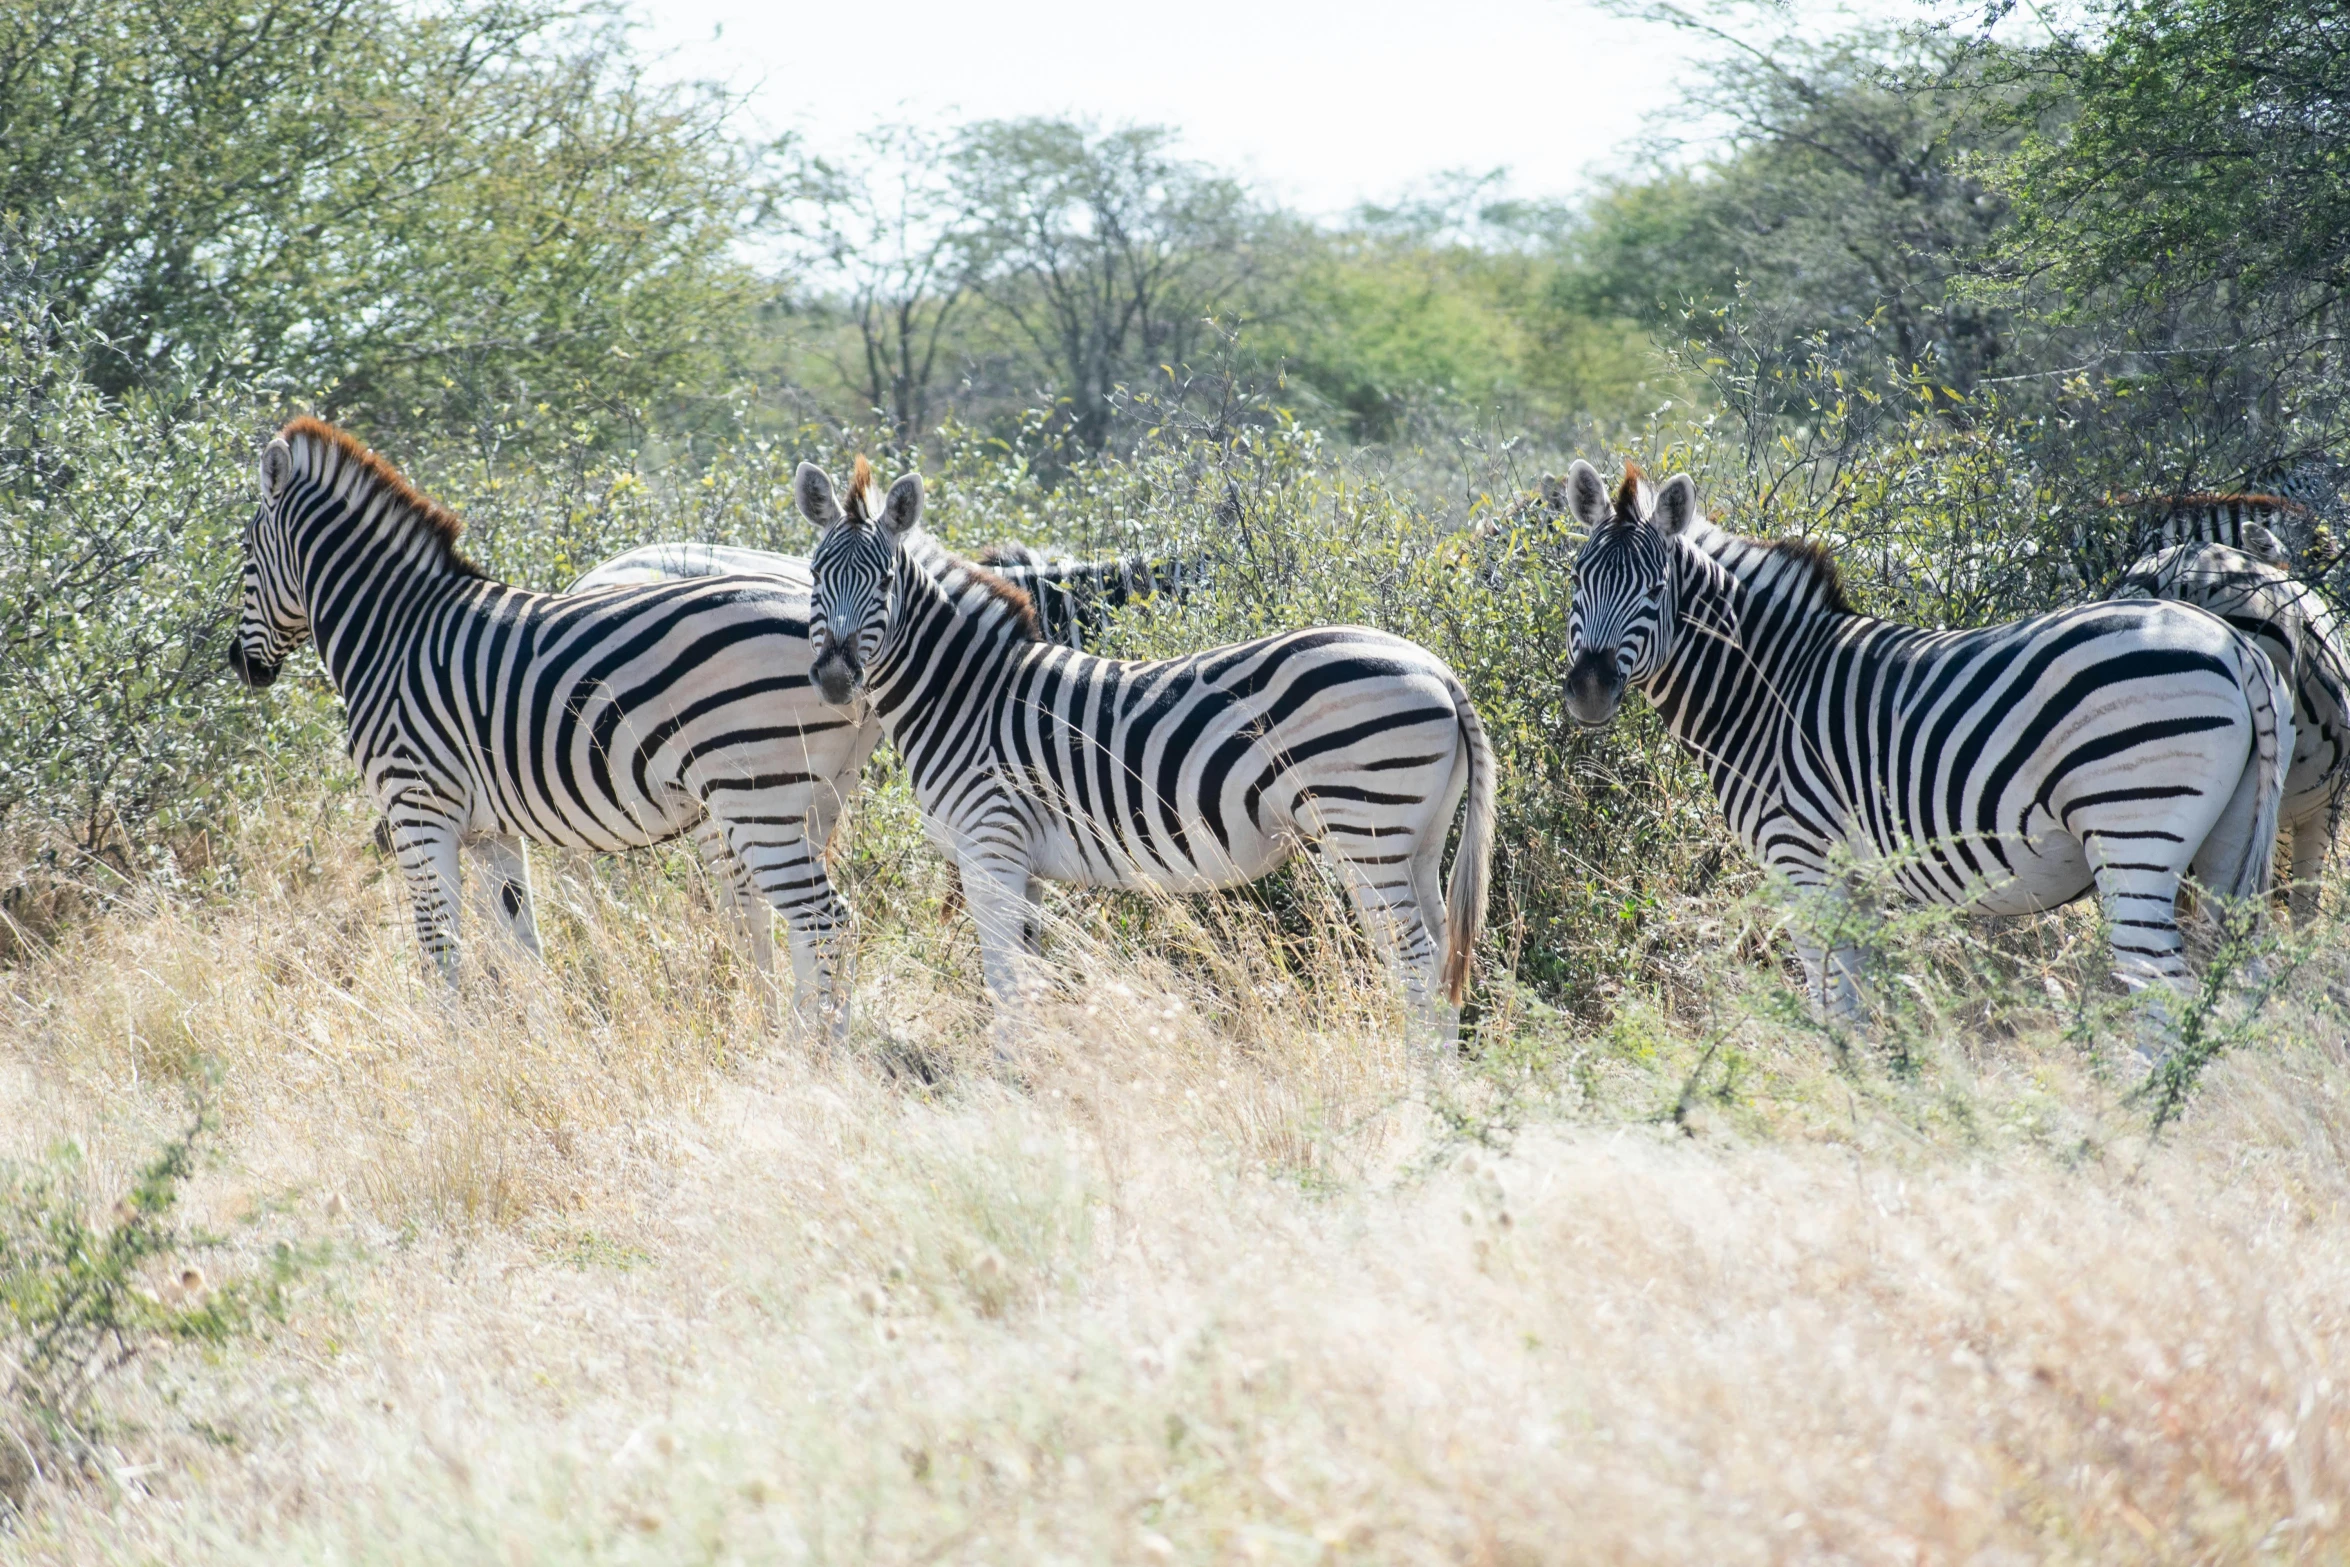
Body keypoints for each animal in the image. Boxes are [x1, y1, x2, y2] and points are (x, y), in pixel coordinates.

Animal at [222, 420, 855, 1043]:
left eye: (246, 554)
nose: (241, 665)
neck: (393, 635)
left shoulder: (416, 805)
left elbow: (438, 945)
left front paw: (442, 1047)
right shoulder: (489, 831)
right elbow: (520, 945)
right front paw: (539, 1041)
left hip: (755, 795)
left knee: (820, 916)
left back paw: (810, 1048)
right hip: (813, 799)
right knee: (791, 915)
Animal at [798, 455, 1494, 1043]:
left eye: (886, 582)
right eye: (813, 575)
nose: (832, 679)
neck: (967, 694)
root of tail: (1438, 670)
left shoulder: (989, 842)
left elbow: (1004, 980)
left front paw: (1009, 1084)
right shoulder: (1024, 861)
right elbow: (1032, 975)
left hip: (1364, 827)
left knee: (1415, 964)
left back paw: (1415, 1096)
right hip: (1418, 838)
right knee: (1443, 957)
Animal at [1560, 455, 2293, 1019]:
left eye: (1656, 588)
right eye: (1575, 579)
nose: (1589, 690)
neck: (1766, 684)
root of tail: (2232, 646)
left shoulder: (1802, 861)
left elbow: (1831, 1004)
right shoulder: (1853, 876)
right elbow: (1855, 999)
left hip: (2133, 831)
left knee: (2163, 992)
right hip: (2231, 841)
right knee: (2237, 986)